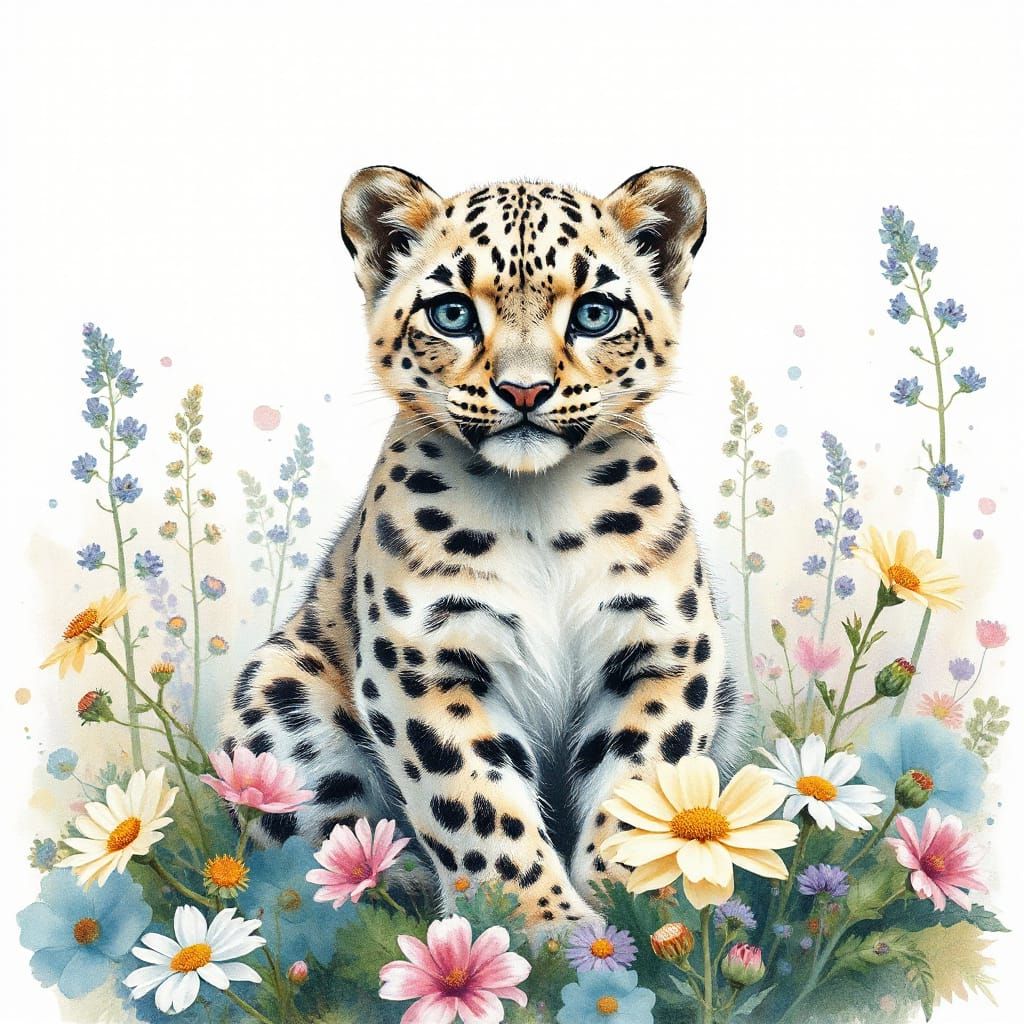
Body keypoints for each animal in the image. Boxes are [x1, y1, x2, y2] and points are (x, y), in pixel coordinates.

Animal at [219, 164, 744, 940]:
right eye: (452, 313)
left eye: (595, 314)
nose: (524, 390)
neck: (538, 508)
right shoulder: (424, 662)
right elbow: (478, 808)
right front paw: (547, 929)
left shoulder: (662, 648)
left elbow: (641, 782)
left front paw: (628, 908)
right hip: (280, 695)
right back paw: (384, 890)